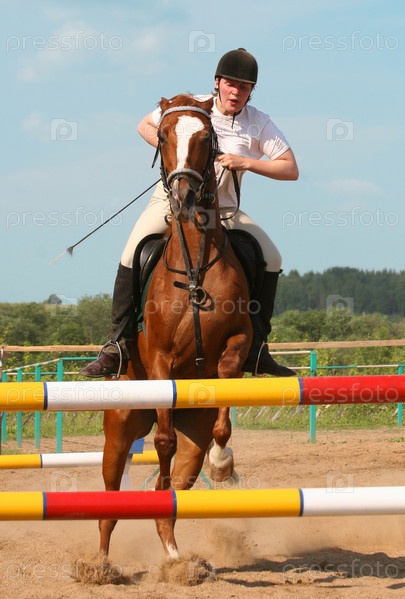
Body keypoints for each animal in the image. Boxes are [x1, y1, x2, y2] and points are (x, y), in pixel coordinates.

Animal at [99, 94, 253, 561]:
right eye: (164, 136)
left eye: (206, 137)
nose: (184, 197)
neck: (195, 265)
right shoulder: (159, 359)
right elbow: (162, 442)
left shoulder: (238, 340)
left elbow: (224, 401)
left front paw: (224, 465)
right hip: (119, 430)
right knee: (110, 496)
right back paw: (100, 563)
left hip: (193, 439)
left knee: (177, 487)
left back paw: (174, 555)